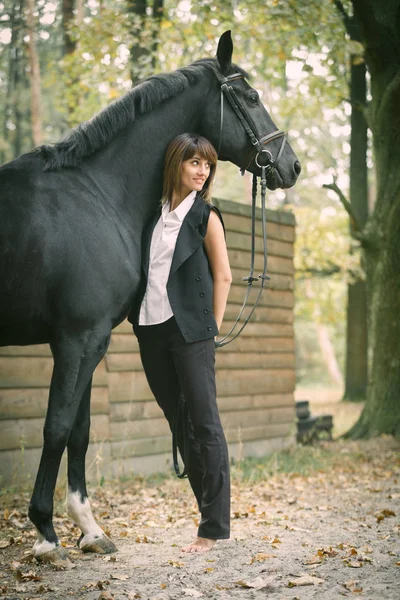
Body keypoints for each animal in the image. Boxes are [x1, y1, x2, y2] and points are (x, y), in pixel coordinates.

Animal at [0, 30, 300, 560]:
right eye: (251, 97)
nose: (292, 165)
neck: (95, 193)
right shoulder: (78, 339)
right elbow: (56, 427)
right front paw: (45, 533)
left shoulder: (86, 341)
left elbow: (79, 430)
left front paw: (89, 529)